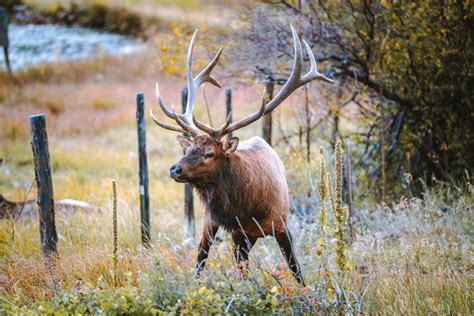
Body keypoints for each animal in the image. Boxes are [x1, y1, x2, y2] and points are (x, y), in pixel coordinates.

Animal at [151, 25, 334, 286]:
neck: (250, 208)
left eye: (209, 153)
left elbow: (295, 268)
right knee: (201, 256)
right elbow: (238, 270)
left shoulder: (281, 225)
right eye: (187, 150)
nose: (175, 168)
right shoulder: (237, 231)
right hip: (211, 222)